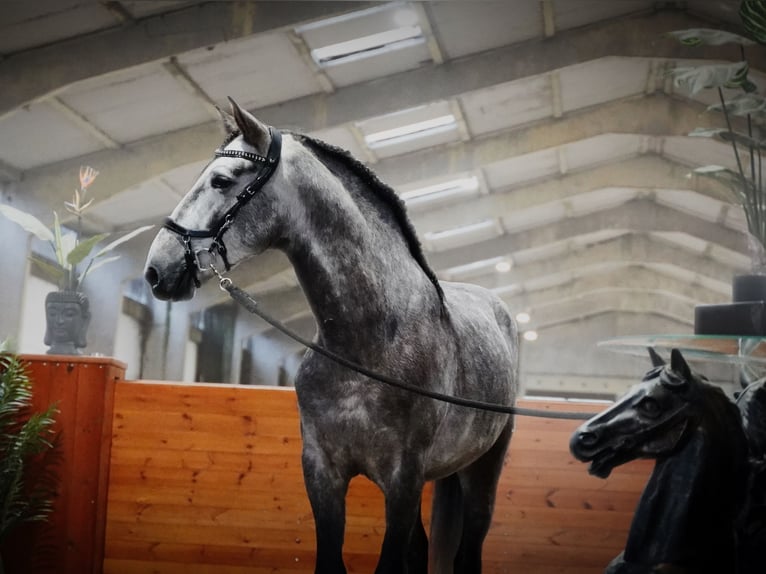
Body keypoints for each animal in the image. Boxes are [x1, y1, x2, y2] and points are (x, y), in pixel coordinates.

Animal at [142, 101, 520, 572]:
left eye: (222, 180)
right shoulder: (323, 473)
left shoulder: (403, 480)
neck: (369, 346)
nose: (157, 270)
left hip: (483, 469)